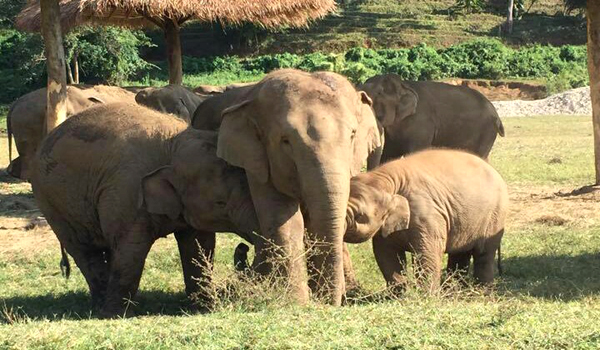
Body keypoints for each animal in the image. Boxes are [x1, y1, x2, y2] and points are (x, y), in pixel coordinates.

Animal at [29, 103, 258, 318]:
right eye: (221, 203)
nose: (243, 247)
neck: (173, 145)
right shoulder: (126, 192)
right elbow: (131, 247)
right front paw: (116, 315)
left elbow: (198, 244)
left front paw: (204, 307)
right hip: (52, 203)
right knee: (85, 250)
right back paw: (100, 306)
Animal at [217, 68, 380, 304]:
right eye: (285, 141)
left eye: (352, 135)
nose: (329, 303)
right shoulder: (257, 163)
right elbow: (284, 219)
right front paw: (297, 301)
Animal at [344, 149, 508, 292]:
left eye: (360, 216)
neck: (386, 178)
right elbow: (386, 253)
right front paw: (399, 295)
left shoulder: (425, 213)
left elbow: (428, 251)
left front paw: (426, 296)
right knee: (461, 253)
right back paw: (454, 290)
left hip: (495, 215)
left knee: (484, 253)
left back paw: (481, 291)